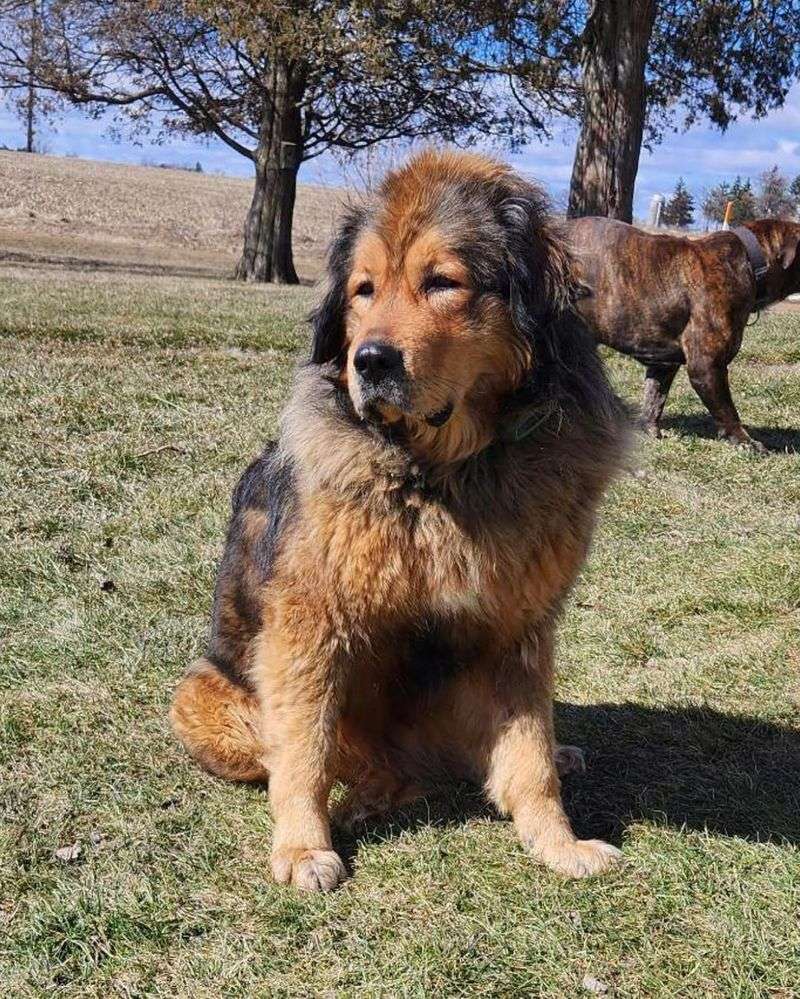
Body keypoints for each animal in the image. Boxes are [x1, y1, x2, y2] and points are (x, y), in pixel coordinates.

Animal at [170, 152, 632, 896]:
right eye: (363, 290)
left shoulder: (521, 631)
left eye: (442, 282)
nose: (371, 360)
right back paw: (370, 793)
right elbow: (304, 751)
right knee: (335, 758)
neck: (442, 476)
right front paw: (303, 846)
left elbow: (529, 753)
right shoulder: (308, 624)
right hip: (200, 695)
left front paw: (559, 840)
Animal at [564, 221, 800, 456]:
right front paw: (745, 441)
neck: (752, 261)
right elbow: (727, 410)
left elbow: (654, 400)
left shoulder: (663, 364)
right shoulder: (706, 366)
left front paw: (649, 431)